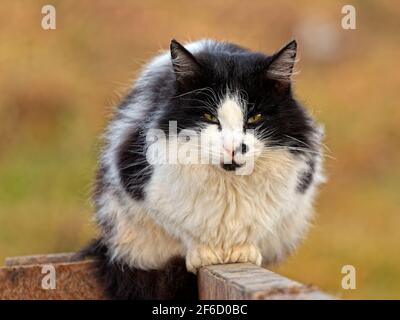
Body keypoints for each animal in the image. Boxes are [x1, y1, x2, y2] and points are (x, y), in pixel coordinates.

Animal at [86, 38, 324, 298]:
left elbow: (255, 226)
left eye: (254, 118)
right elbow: (182, 228)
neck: (229, 186)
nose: (233, 148)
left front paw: (243, 250)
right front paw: (203, 252)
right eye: (209, 117)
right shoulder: (141, 187)